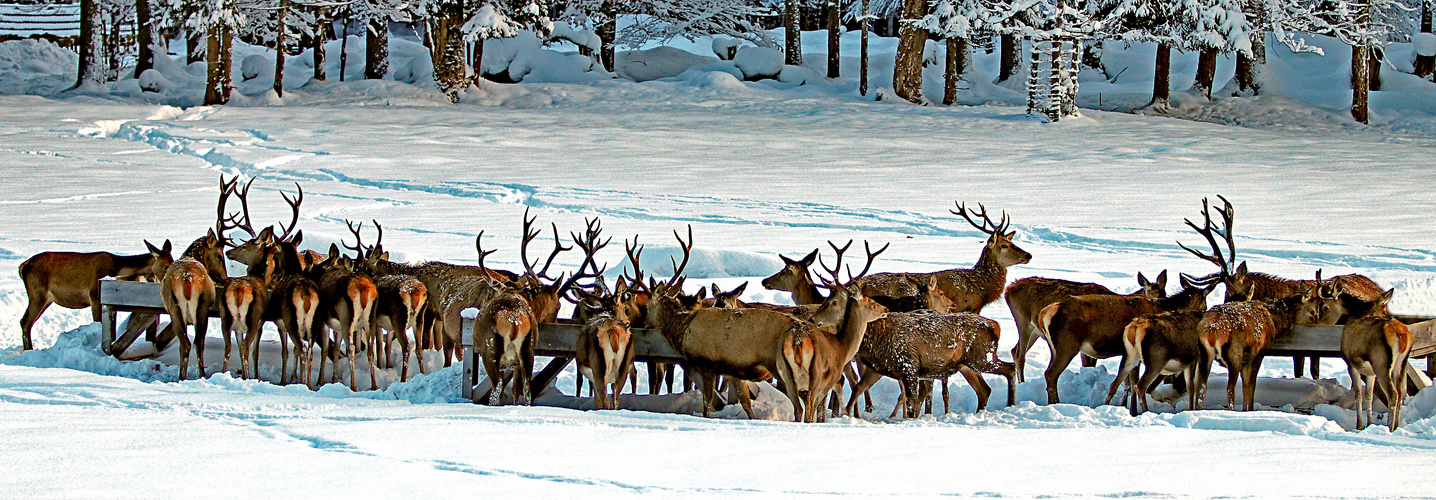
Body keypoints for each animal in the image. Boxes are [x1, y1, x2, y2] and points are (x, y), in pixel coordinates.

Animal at [18, 239, 172, 349]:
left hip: (46, 299)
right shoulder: (95, 295)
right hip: (37, 294)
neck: (120, 271)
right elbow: (98, 322)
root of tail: (23, 266)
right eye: (165, 266)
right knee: (25, 321)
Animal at [1332, 291, 1413, 431]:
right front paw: (1369, 424)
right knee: (1401, 393)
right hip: (1401, 365)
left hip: (1382, 364)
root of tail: (1401, 334)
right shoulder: (1371, 372)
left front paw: (1359, 426)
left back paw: (1389, 428)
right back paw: (1396, 426)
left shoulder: (1351, 364)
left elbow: (1358, 394)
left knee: (1393, 394)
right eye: (1384, 311)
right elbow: (1369, 395)